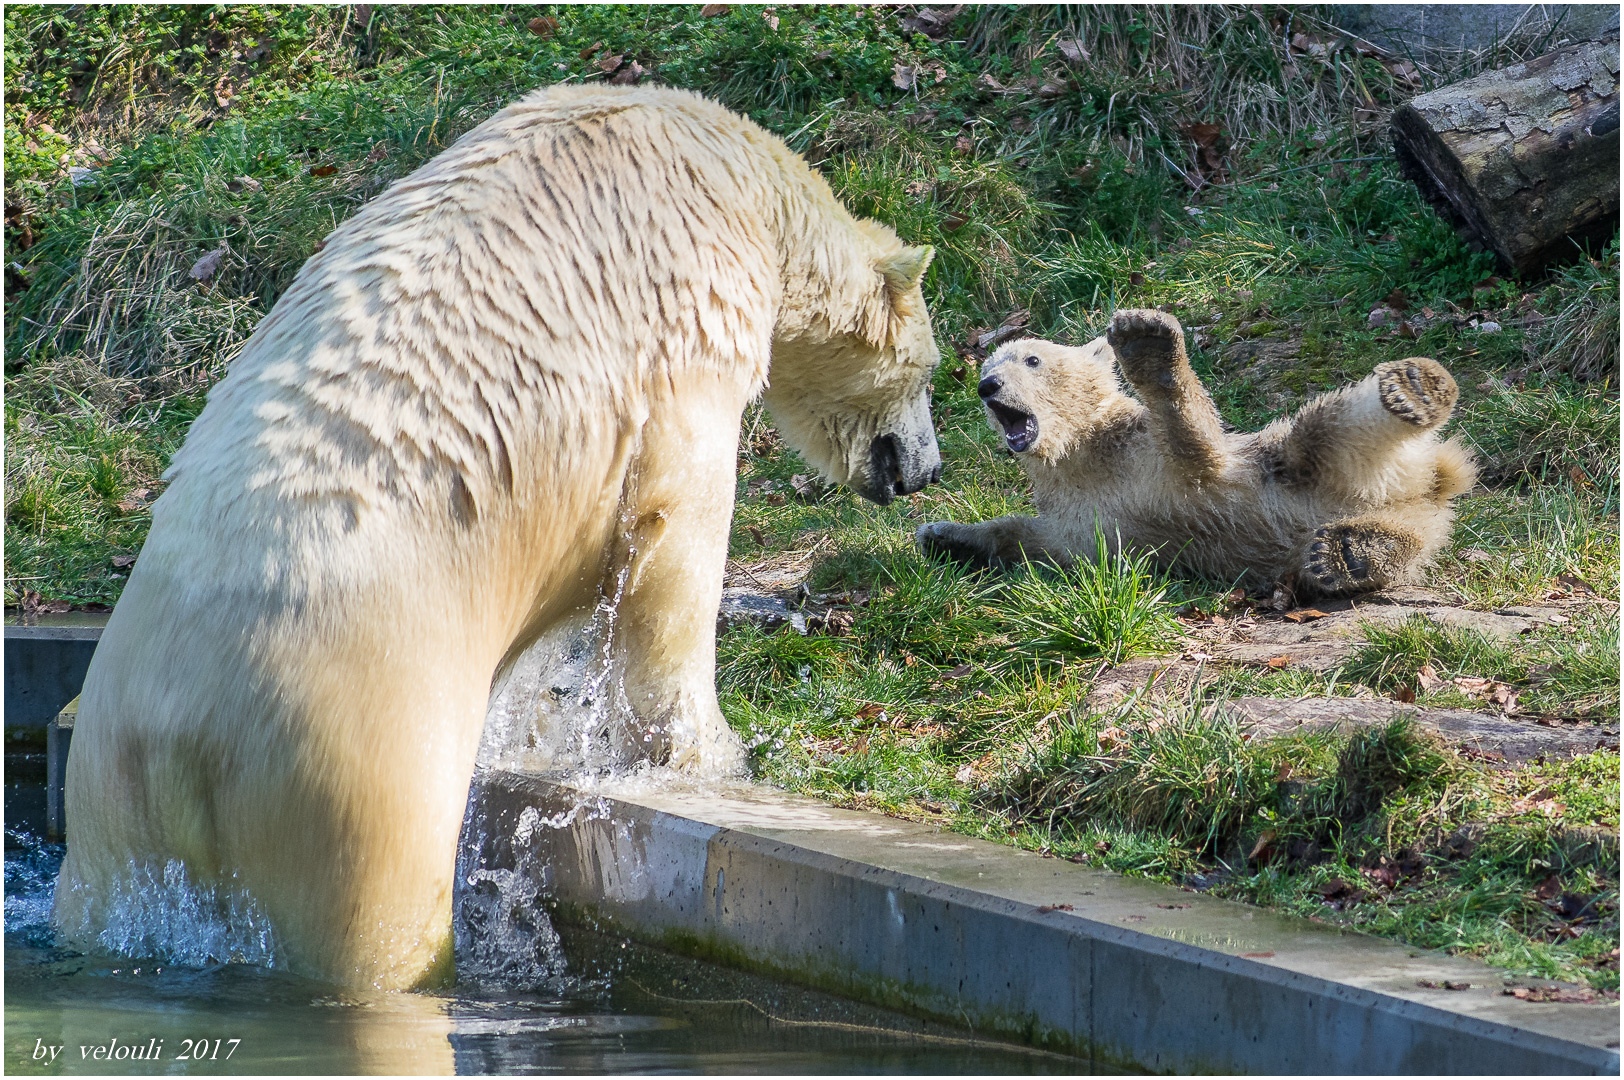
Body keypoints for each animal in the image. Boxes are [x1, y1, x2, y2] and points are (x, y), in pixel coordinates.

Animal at [57, 88, 941, 987]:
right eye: (932, 372)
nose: (924, 469)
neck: (740, 186)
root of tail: (186, 741)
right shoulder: (686, 333)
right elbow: (674, 538)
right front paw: (720, 752)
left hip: (109, 786)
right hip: (350, 756)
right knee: (378, 912)